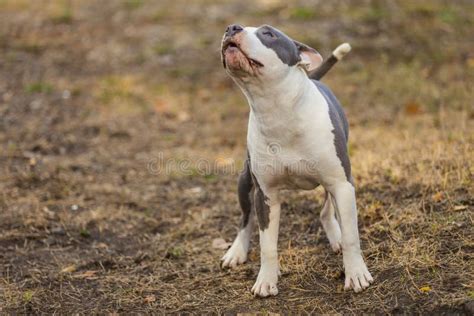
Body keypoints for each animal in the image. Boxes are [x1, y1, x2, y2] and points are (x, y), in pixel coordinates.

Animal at [220, 24, 372, 296]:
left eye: (268, 34)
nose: (232, 27)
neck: (277, 110)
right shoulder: (266, 194)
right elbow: (267, 244)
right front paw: (266, 280)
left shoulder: (342, 183)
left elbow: (352, 235)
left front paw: (356, 274)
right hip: (245, 181)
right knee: (245, 219)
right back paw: (236, 251)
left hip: (336, 181)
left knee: (327, 211)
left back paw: (336, 237)